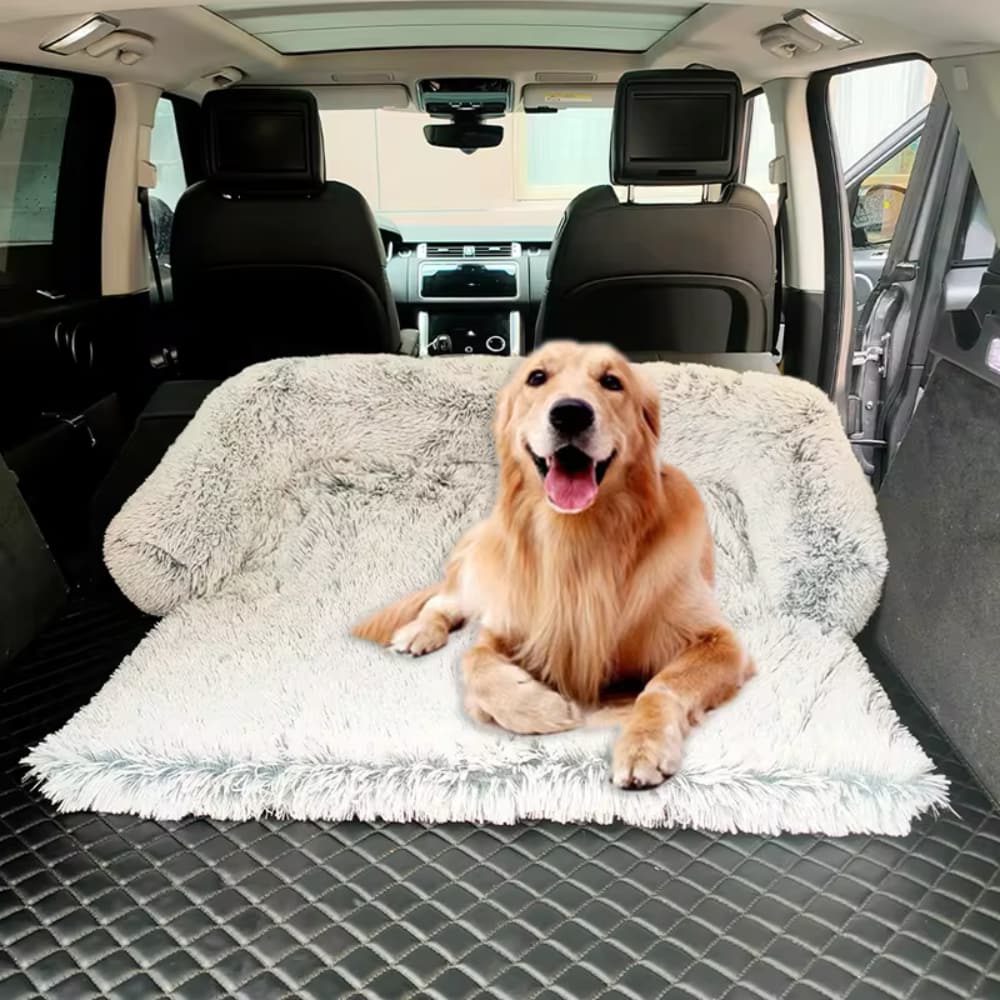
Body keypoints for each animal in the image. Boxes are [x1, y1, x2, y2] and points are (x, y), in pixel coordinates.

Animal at [356, 344, 752, 788]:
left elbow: (663, 685)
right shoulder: (504, 625)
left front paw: (643, 744)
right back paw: (419, 632)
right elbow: (474, 662)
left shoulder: (720, 643)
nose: (570, 413)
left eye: (612, 381)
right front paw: (543, 708)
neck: (577, 540)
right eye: (537, 377)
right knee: (442, 602)